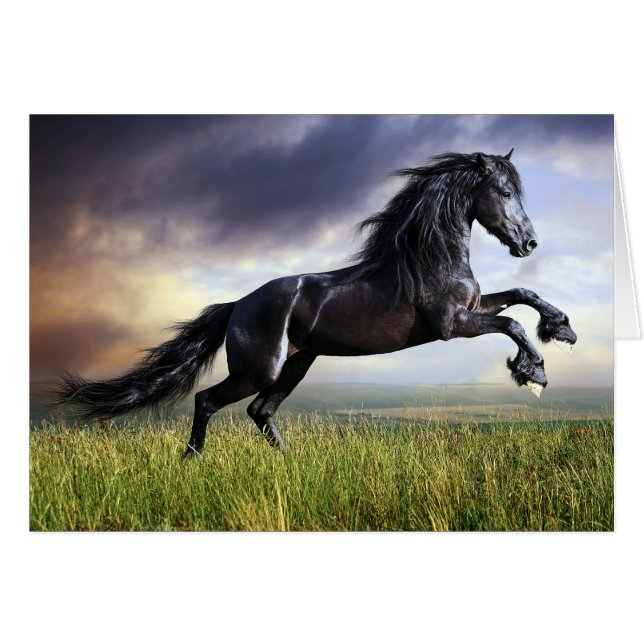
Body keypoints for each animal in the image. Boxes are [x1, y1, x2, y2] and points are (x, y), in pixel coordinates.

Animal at [56, 150, 578, 457]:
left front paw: (562, 330)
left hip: (297, 363)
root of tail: (237, 304)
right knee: (209, 400)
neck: (430, 258)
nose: (529, 243)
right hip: (259, 369)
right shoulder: (451, 324)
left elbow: (522, 297)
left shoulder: (473, 307)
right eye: (504, 192)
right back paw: (193, 459)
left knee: (260, 412)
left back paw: (286, 463)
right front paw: (534, 373)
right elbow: (512, 324)